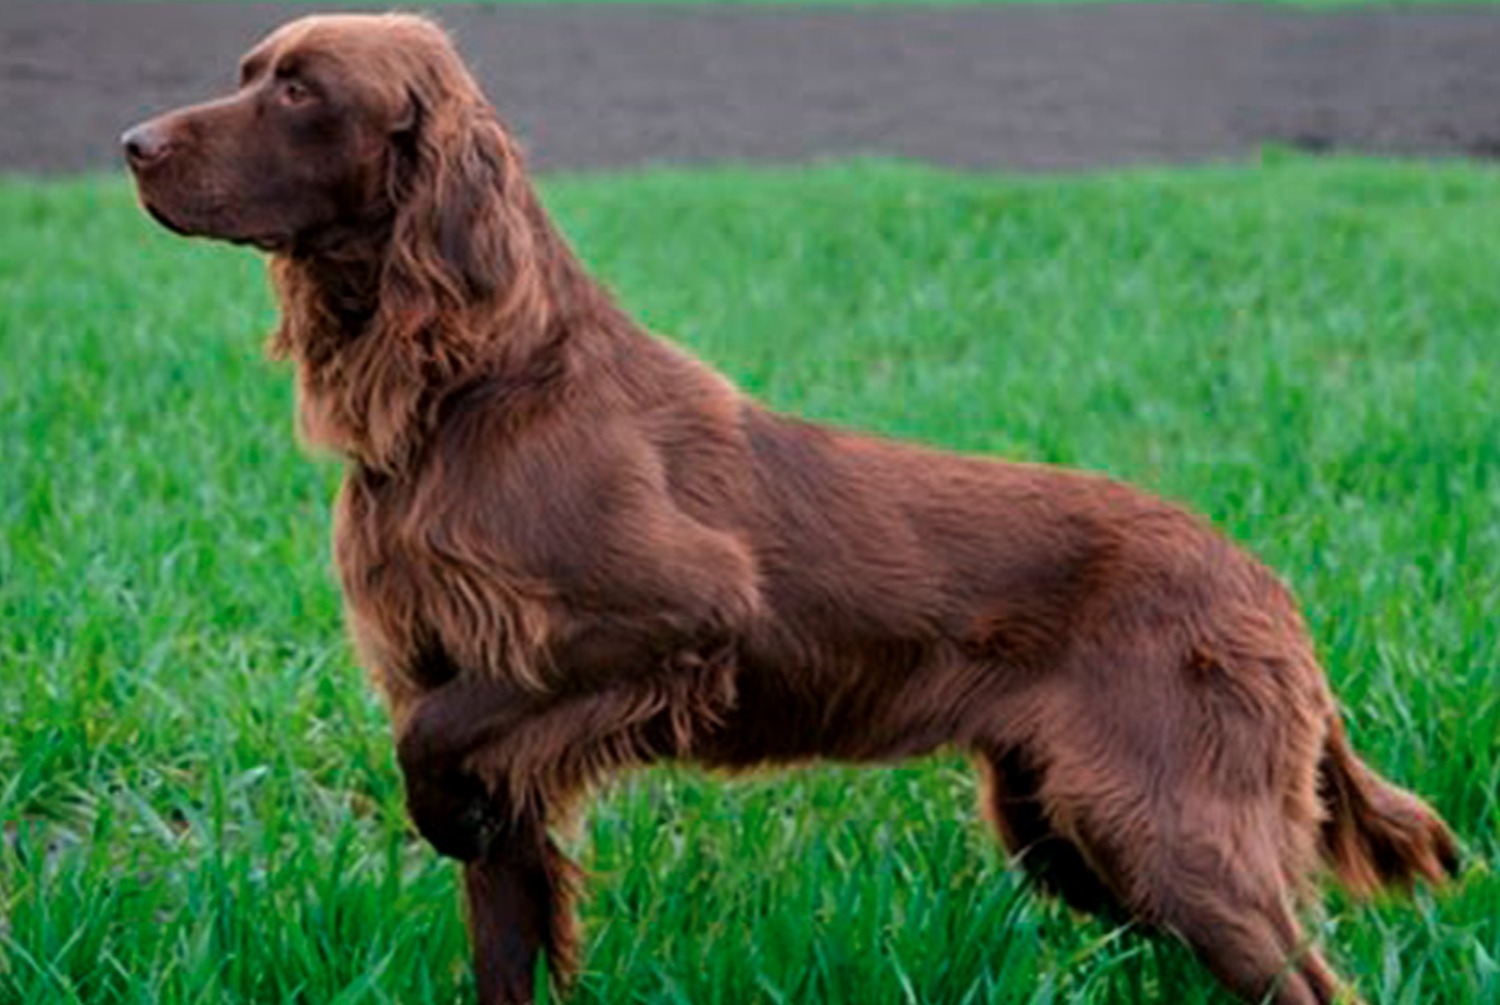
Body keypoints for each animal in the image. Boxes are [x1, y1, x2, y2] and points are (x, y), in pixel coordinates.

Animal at [123, 11, 1458, 1002]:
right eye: (249, 73)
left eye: (301, 92)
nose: (132, 142)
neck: (472, 389)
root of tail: (1267, 586)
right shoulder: (466, 690)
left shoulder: (669, 620)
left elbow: (440, 742)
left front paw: (442, 808)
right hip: (1066, 828)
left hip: (1168, 828)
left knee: (1308, 981)